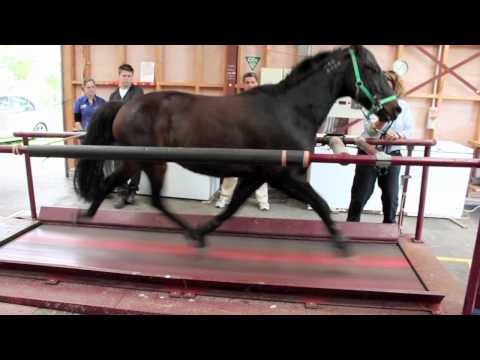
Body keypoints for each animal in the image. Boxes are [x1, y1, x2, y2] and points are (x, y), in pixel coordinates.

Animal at [73, 45, 402, 256]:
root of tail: (124, 106)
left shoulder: (256, 175)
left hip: (144, 163)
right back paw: (89, 216)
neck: (291, 110)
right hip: (145, 162)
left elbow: (232, 206)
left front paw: (206, 229)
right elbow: (320, 203)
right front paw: (341, 242)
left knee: (141, 194)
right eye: (371, 69)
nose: (395, 109)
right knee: (130, 189)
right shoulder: (286, 176)